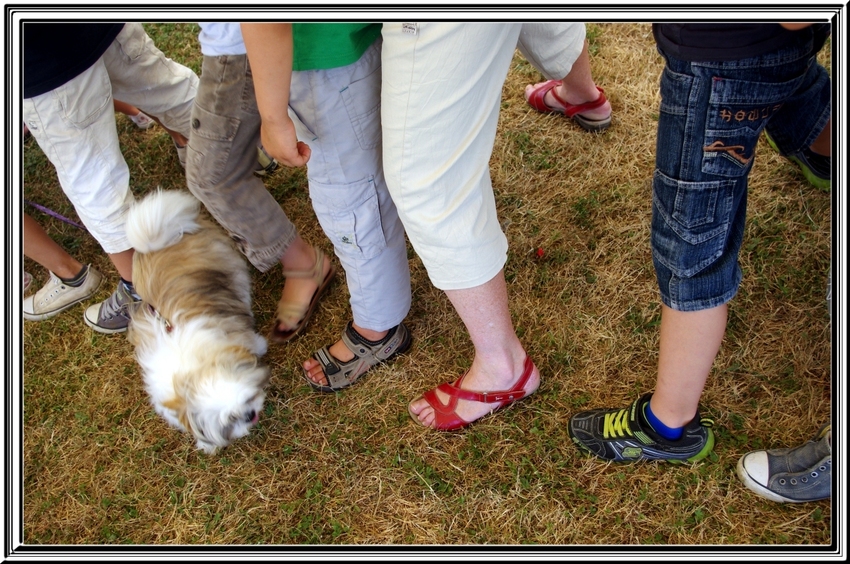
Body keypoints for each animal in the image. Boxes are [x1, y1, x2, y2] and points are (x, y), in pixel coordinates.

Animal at [126, 189, 268, 454]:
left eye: (247, 401)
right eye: (230, 421)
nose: (250, 416)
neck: (189, 373)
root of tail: (155, 243)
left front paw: (260, 346)